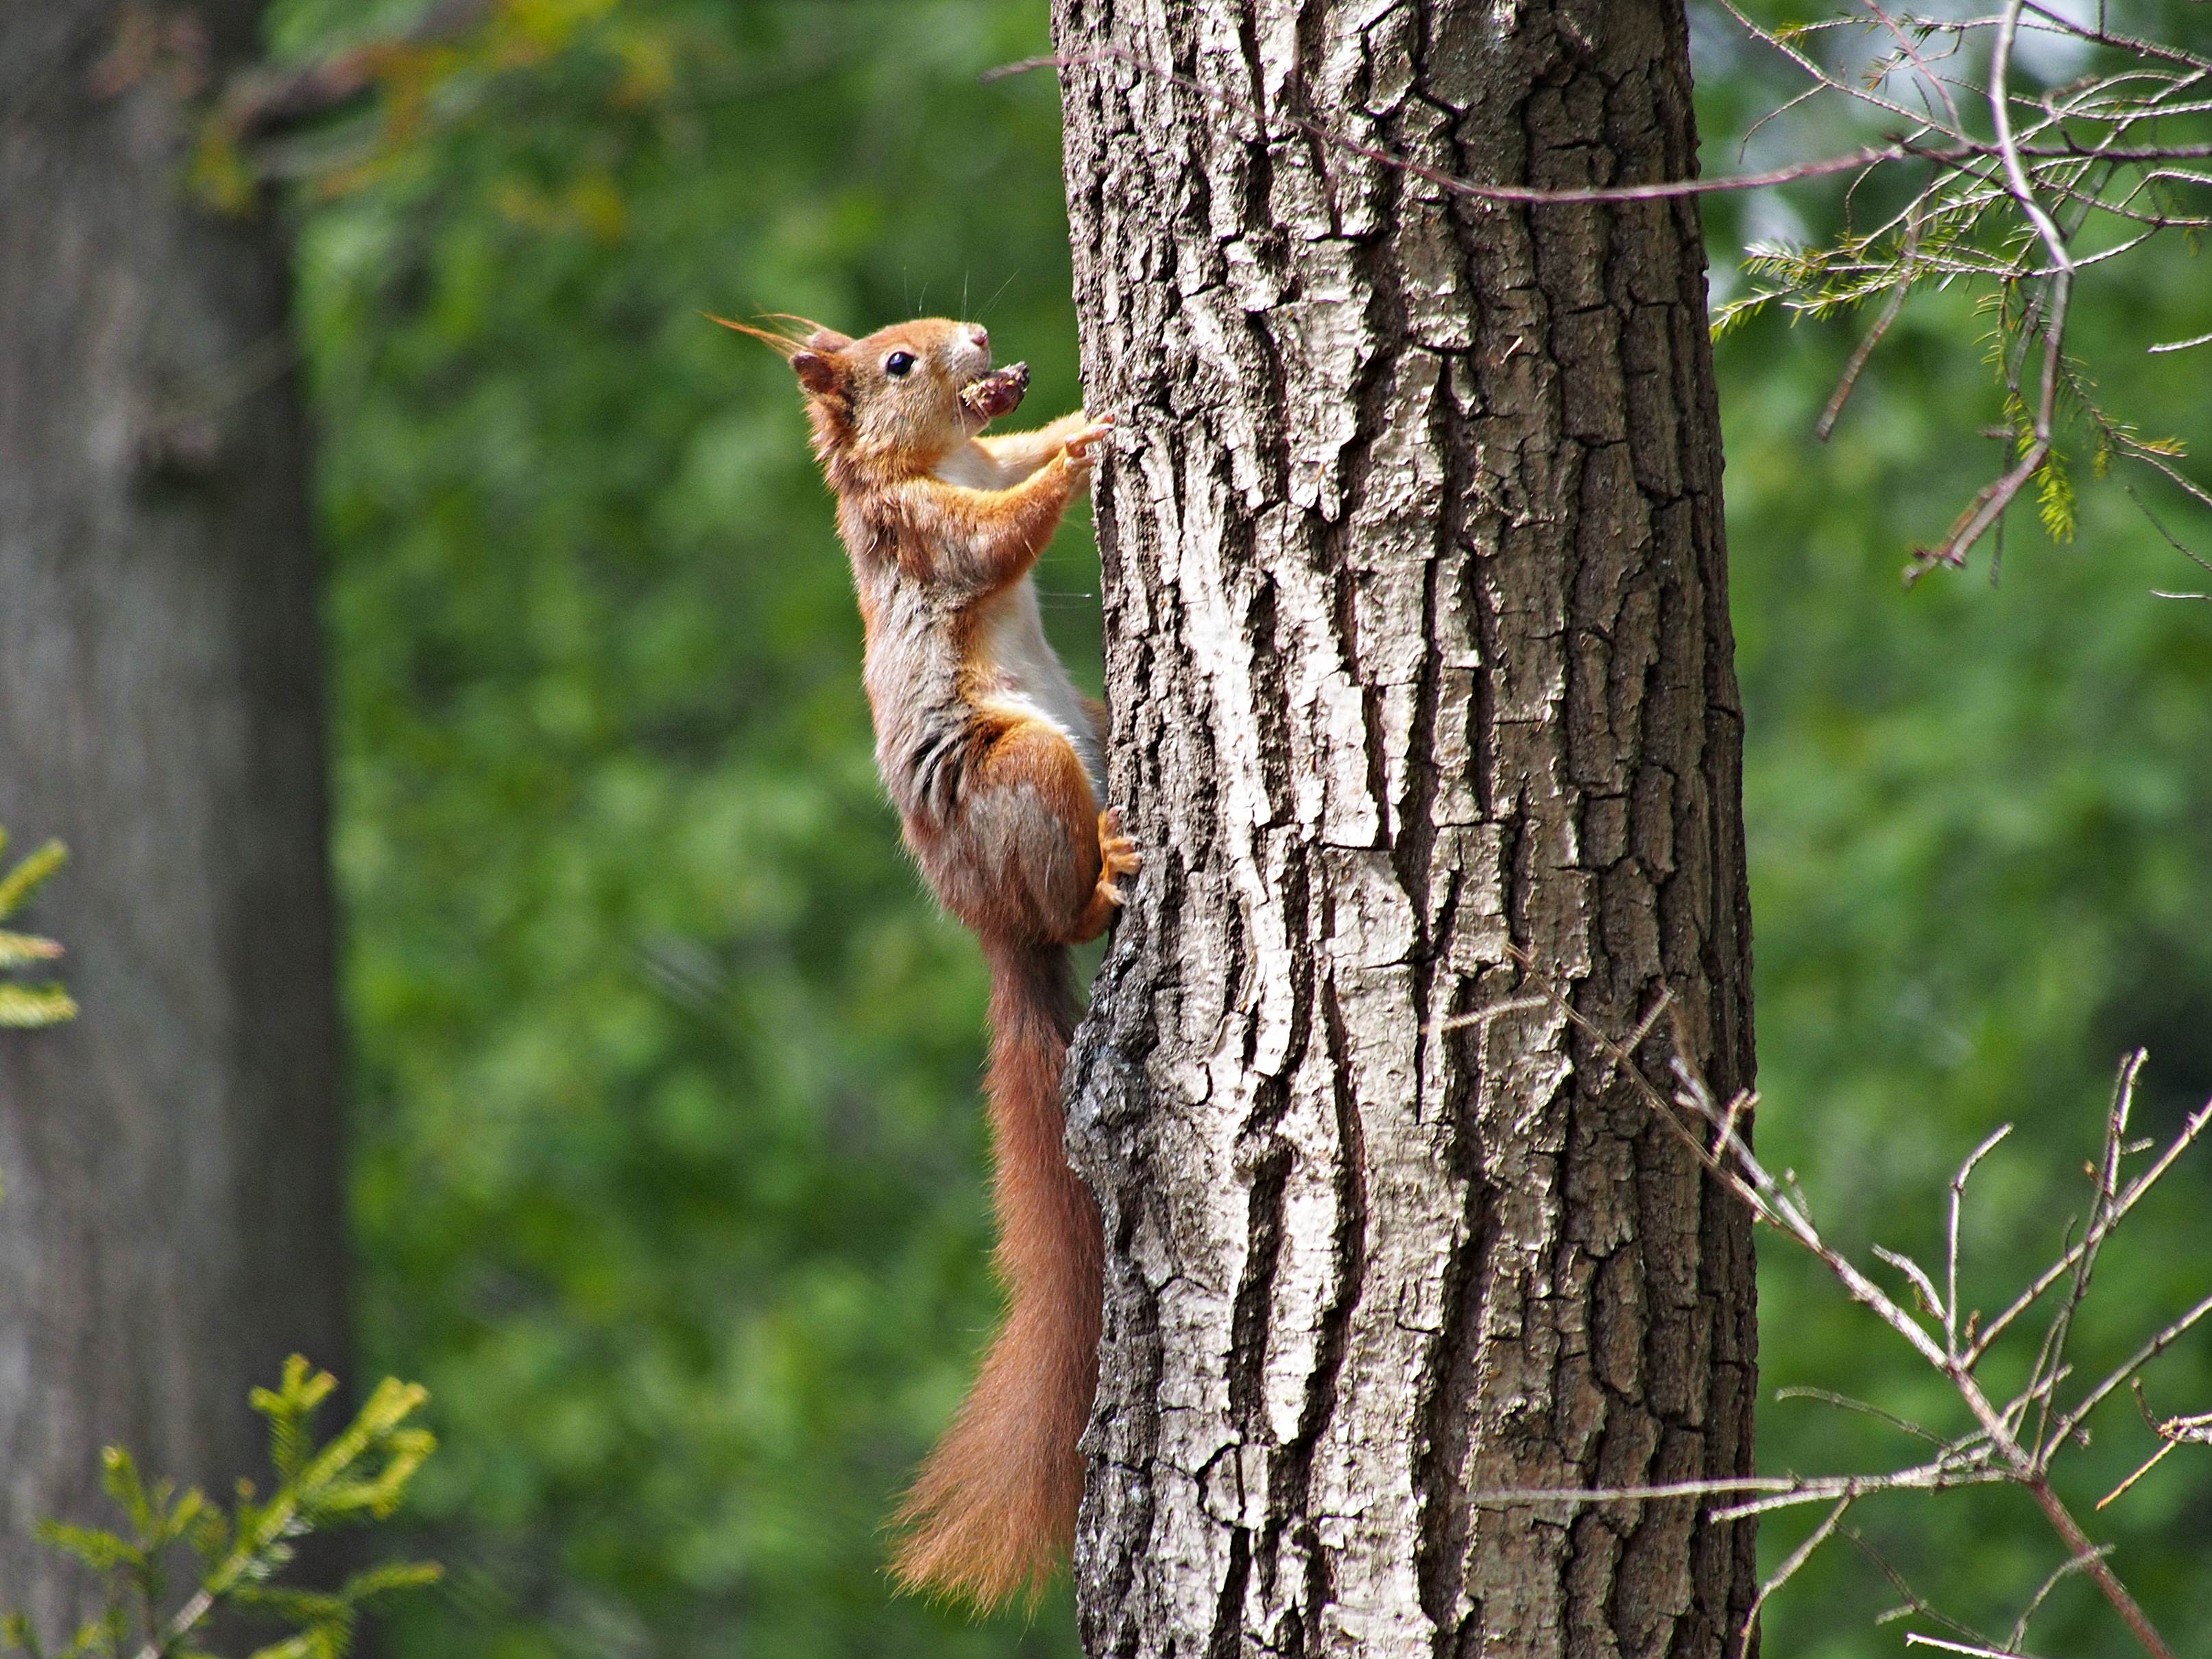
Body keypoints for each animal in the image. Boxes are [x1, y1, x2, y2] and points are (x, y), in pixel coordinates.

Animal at [725, 311, 1132, 1610]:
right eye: (895, 362)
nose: (978, 335)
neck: (929, 460)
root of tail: (992, 922)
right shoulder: (921, 532)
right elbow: (996, 537)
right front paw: (1089, 450)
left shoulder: (975, 465)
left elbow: (1012, 458)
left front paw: (1063, 412)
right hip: (1025, 774)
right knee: (1064, 907)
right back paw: (1103, 873)